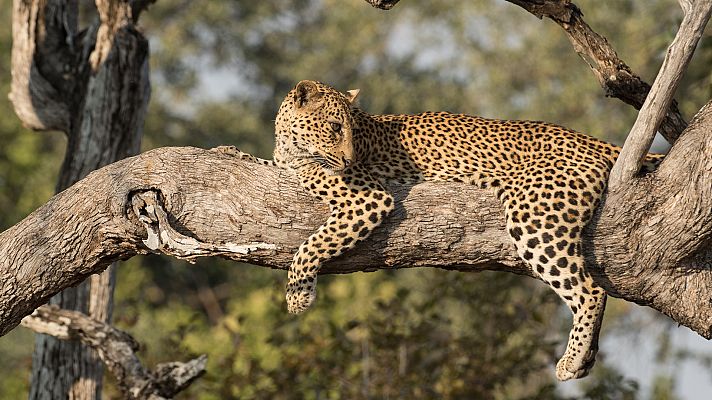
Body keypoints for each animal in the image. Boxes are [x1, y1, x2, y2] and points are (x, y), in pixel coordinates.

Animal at [233, 80, 664, 381]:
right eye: (336, 127)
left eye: (352, 130)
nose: (350, 157)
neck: (290, 147)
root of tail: (590, 140)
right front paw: (230, 151)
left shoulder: (369, 199)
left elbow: (313, 243)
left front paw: (297, 296)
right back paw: (585, 359)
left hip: (534, 216)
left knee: (590, 290)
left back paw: (571, 360)